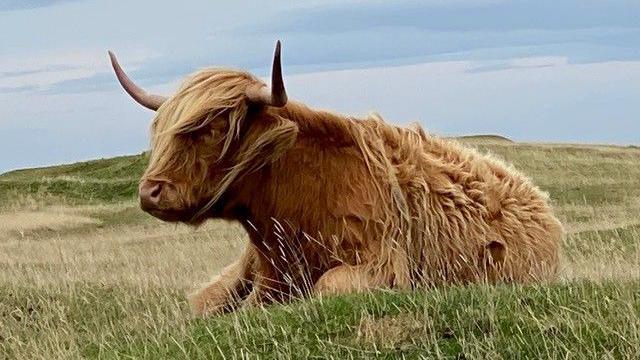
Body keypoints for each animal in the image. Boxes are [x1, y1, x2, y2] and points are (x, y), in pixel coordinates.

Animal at [109, 41, 560, 316]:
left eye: (215, 128)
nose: (150, 192)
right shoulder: (257, 268)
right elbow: (205, 302)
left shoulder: (382, 263)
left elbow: (327, 287)